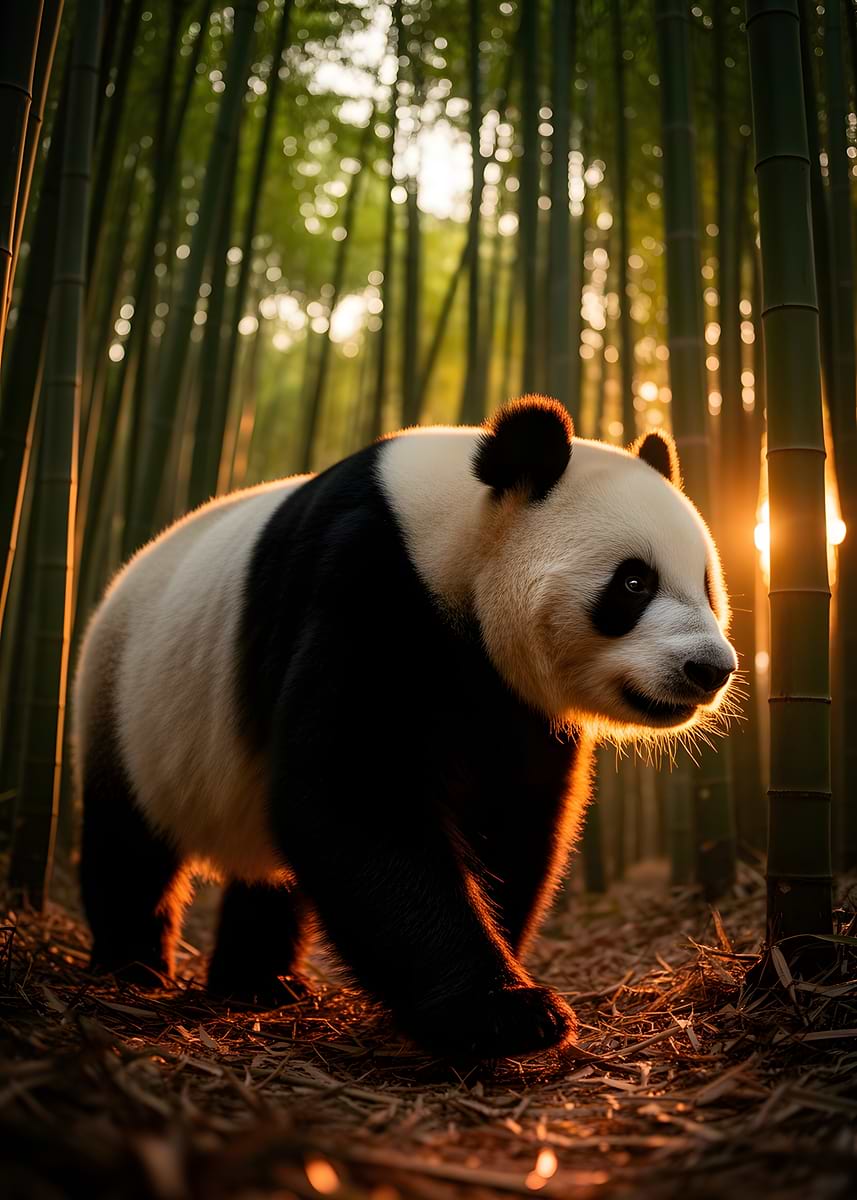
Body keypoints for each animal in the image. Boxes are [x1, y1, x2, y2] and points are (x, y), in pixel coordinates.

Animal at [73, 396, 736, 1060]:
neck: (450, 543)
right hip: (126, 701)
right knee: (128, 845)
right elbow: (353, 795)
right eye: (634, 582)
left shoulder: (514, 701)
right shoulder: (365, 587)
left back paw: (258, 981)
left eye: (707, 584)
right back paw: (132, 967)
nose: (710, 668)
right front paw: (505, 1012)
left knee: (264, 876)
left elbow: (512, 819)